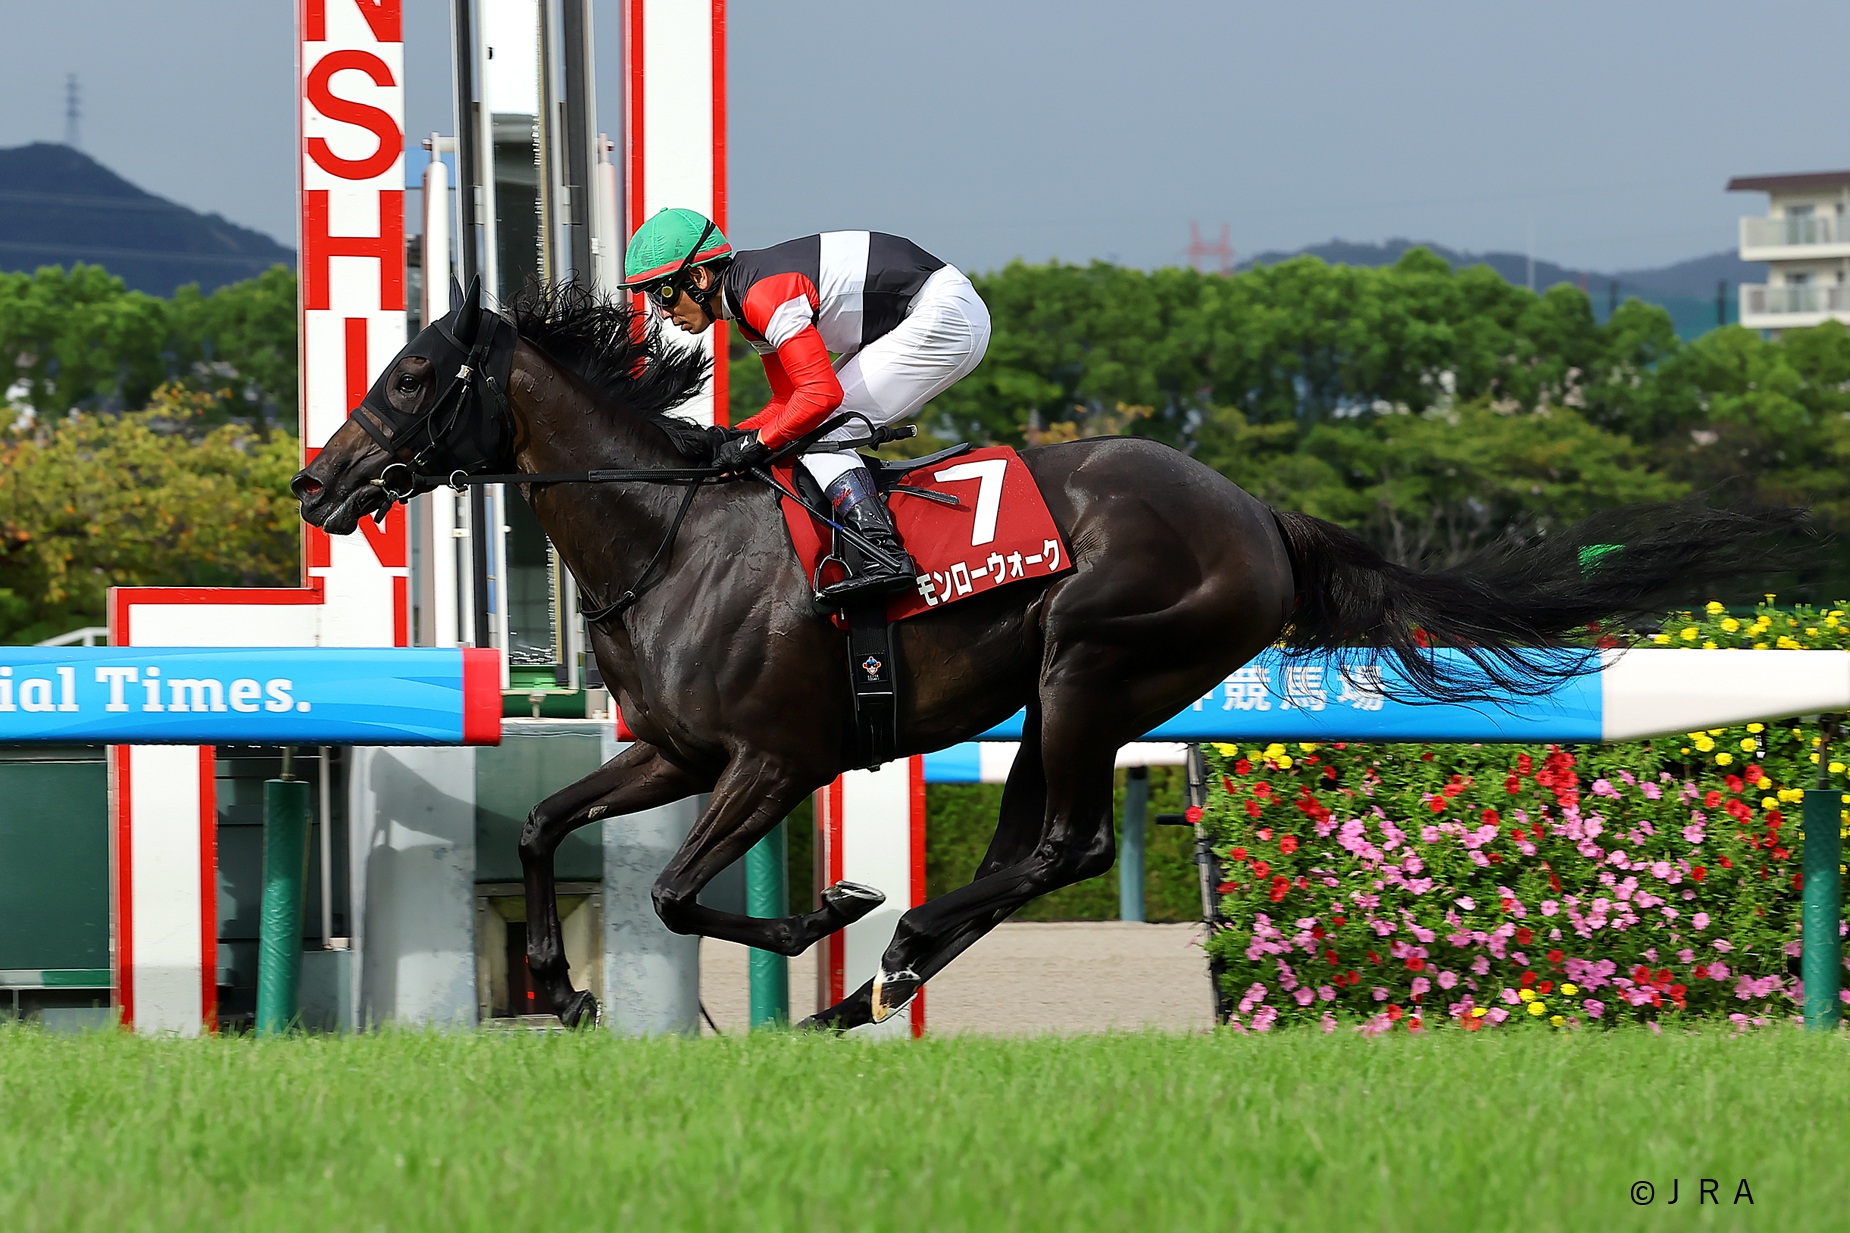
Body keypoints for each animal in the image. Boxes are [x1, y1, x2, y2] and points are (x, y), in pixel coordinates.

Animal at [292, 280, 1805, 1031]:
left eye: (413, 377)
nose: (317, 481)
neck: (666, 534)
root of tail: (1255, 510)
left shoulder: (776, 758)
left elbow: (669, 892)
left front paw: (823, 916)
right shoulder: (670, 749)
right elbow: (542, 825)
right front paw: (558, 985)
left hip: (1092, 659)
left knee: (1066, 843)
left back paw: (890, 951)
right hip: (1049, 693)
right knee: (1036, 845)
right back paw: (886, 978)